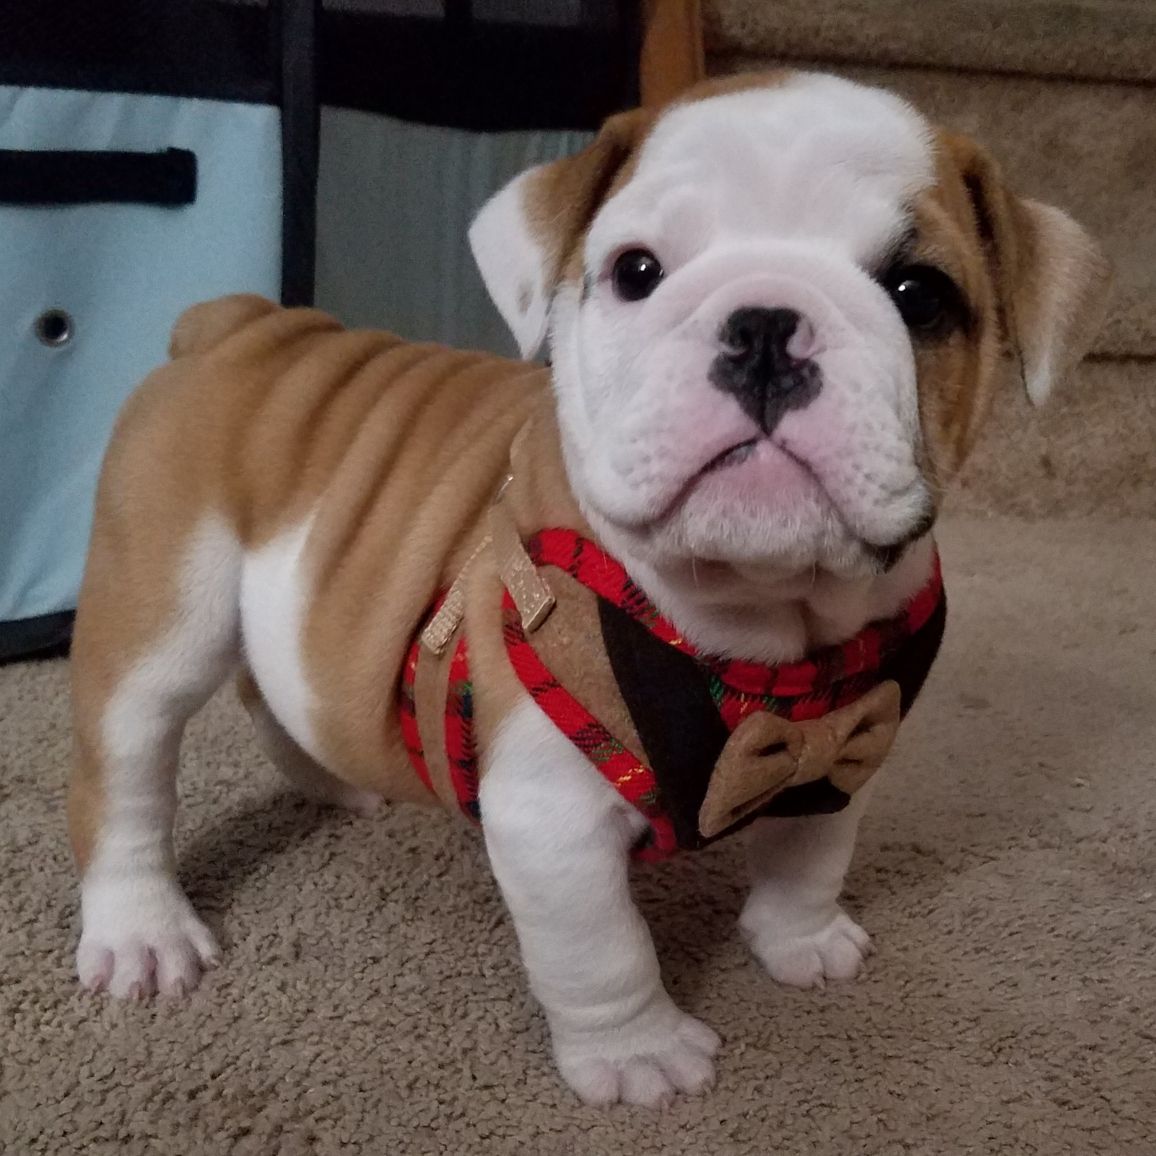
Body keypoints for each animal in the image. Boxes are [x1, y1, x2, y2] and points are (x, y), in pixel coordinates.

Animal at [68, 71, 1108, 1107]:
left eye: (918, 295)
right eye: (637, 272)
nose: (765, 327)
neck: (769, 624)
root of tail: (237, 327)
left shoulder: (843, 747)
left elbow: (809, 855)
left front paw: (802, 940)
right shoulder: (551, 822)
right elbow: (601, 947)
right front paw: (638, 1053)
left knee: (272, 689)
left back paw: (333, 782)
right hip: (163, 619)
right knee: (128, 772)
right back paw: (142, 932)